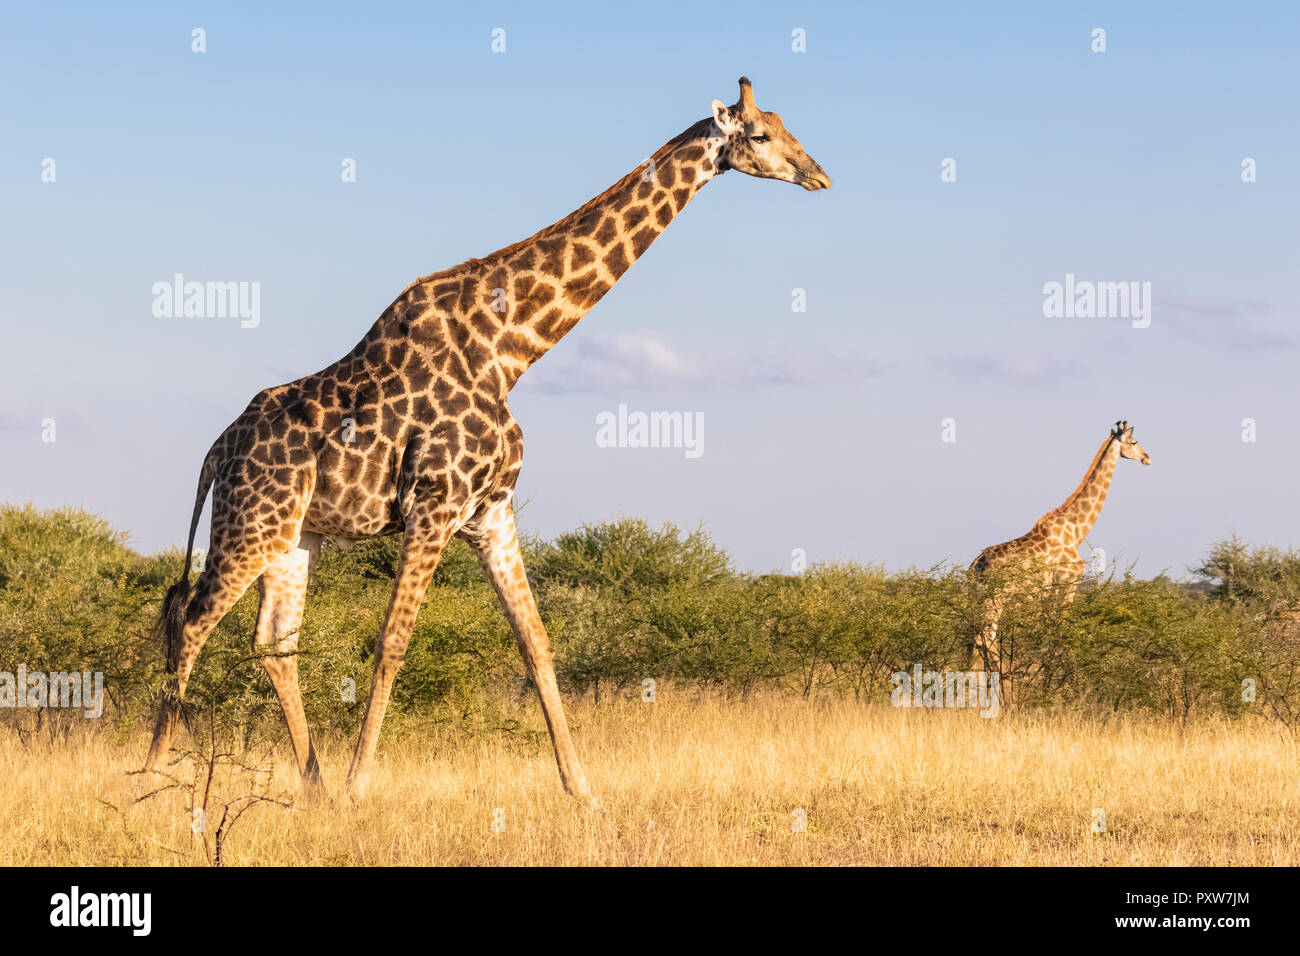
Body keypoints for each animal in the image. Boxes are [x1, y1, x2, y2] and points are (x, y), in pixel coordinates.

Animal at [144, 78, 832, 806]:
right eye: (760, 134)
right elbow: (392, 642)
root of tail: (216, 452)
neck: (513, 347)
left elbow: (536, 643)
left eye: (785, 126)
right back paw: (153, 777)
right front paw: (361, 787)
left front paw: (581, 791)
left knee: (274, 643)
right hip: (249, 524)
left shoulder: (491, 511)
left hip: (293, 535)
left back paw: (313, 787)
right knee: (192, 620)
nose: (818, 175)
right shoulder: (435, 504)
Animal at [972, 421, 1154, 676]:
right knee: (986, 637)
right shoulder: (1067, 583)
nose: (1147, 458)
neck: (1077, 531)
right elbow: (1060, 632)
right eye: (1135, 442)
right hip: (995, 599)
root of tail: (977, 564)